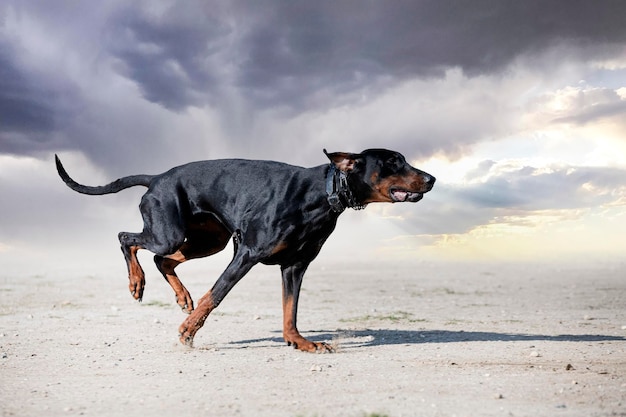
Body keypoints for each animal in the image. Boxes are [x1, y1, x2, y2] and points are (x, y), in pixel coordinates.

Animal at [54, 149, 434, 352]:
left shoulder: (295, 266)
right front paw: (188, 331)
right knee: (127, 238)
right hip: (169, 232)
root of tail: (158, 177)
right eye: (393, 162)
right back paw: (137, 283)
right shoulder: (247, 253)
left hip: (209, 241)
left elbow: (290, 310)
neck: (322, 193)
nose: (431, 179)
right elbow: (215, 296)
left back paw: (182, 298)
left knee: (163, 260)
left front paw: (299, 342)